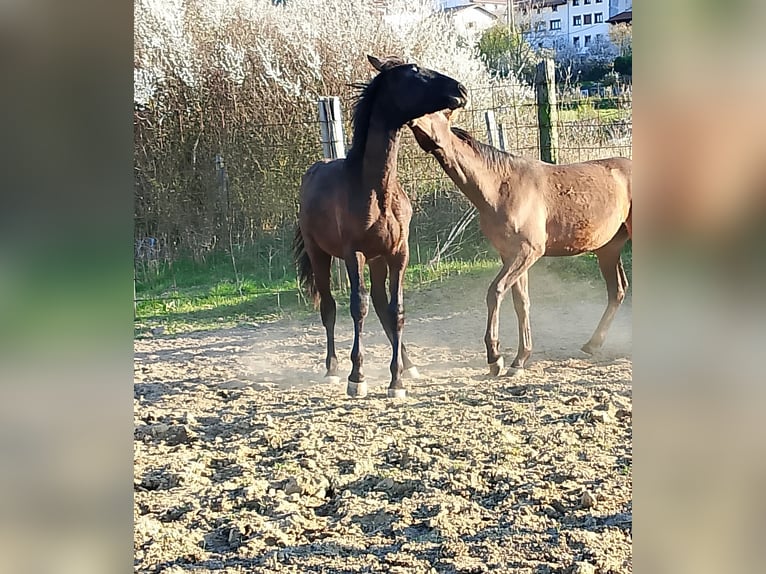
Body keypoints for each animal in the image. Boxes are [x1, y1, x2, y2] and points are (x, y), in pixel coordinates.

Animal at [294, 56, 468, 397]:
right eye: (414, 72)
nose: (460, 90)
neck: (376, 191)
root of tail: (313, 171)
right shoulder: (354, 254)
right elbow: (357, 307)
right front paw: (357, 377)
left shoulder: (398, 254)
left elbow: (395, 309)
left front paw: (397, 381)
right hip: (320, 254)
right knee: (329, 307)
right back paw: (332, 369)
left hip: (377, 260)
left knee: (378, 303)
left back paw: (408, 364)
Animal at [408, 110, 631, 375]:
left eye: (435, 113)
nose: (409, 119)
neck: (500, 187)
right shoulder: (511, 255)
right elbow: (521, 302)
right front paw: (519, 360)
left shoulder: (527, 252)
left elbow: (495, 292)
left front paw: (495, 358)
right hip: (608, 248)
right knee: (617, 290)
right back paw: (592, 344)